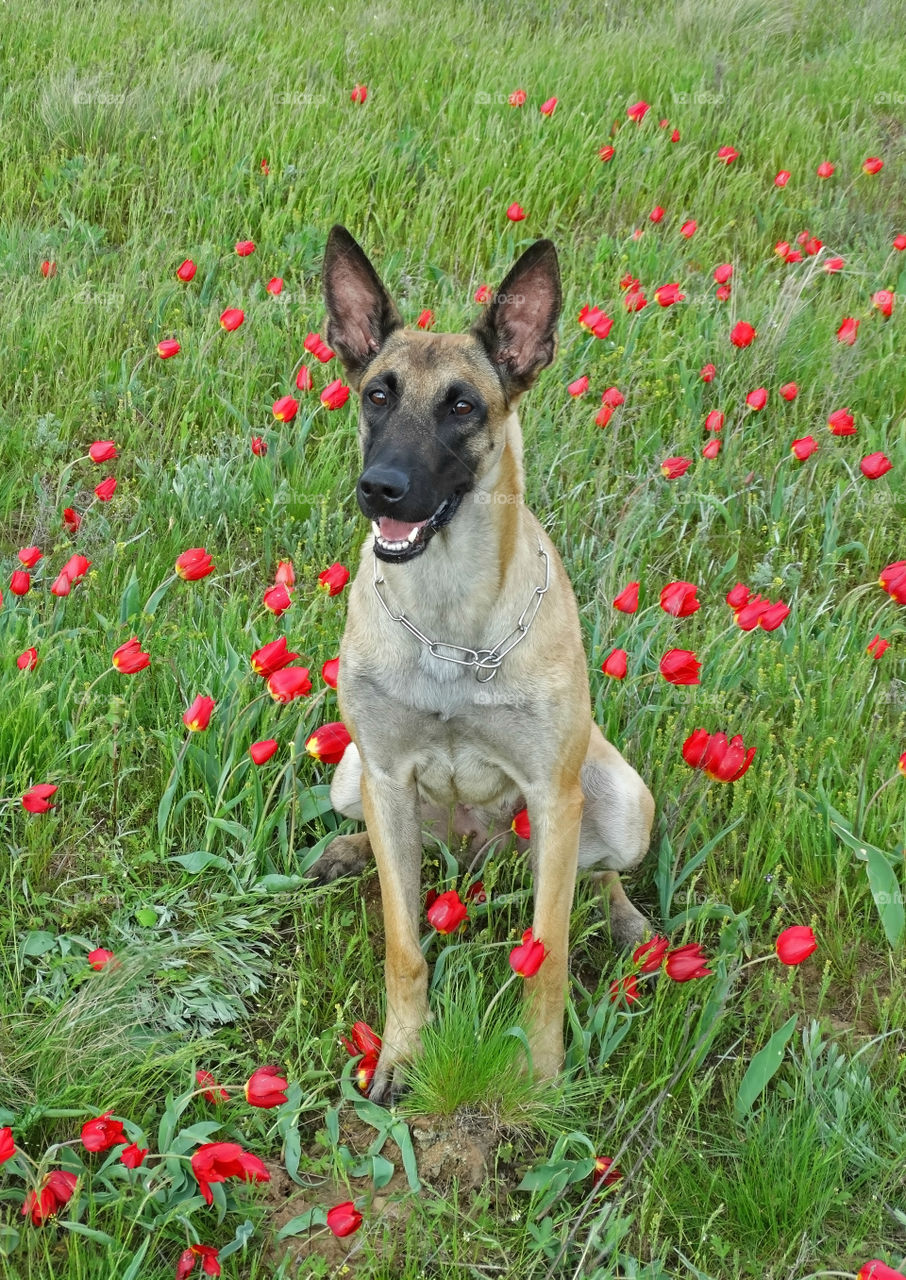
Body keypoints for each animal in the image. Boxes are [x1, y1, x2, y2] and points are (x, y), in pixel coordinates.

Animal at [310, 225, 650, 1105]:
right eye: (377, 396)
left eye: (462, 406)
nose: (379, 489)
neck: (448, 625)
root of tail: (475, 857)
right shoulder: (386, 771)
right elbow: (404, 945)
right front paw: (400, 1053)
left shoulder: (553, 794)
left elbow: (549, 956)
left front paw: (542, 1075)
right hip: (352, 774)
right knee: (394, 850)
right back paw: (350, 853)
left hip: (617, 801)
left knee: (597, 878)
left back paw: (629, 923)